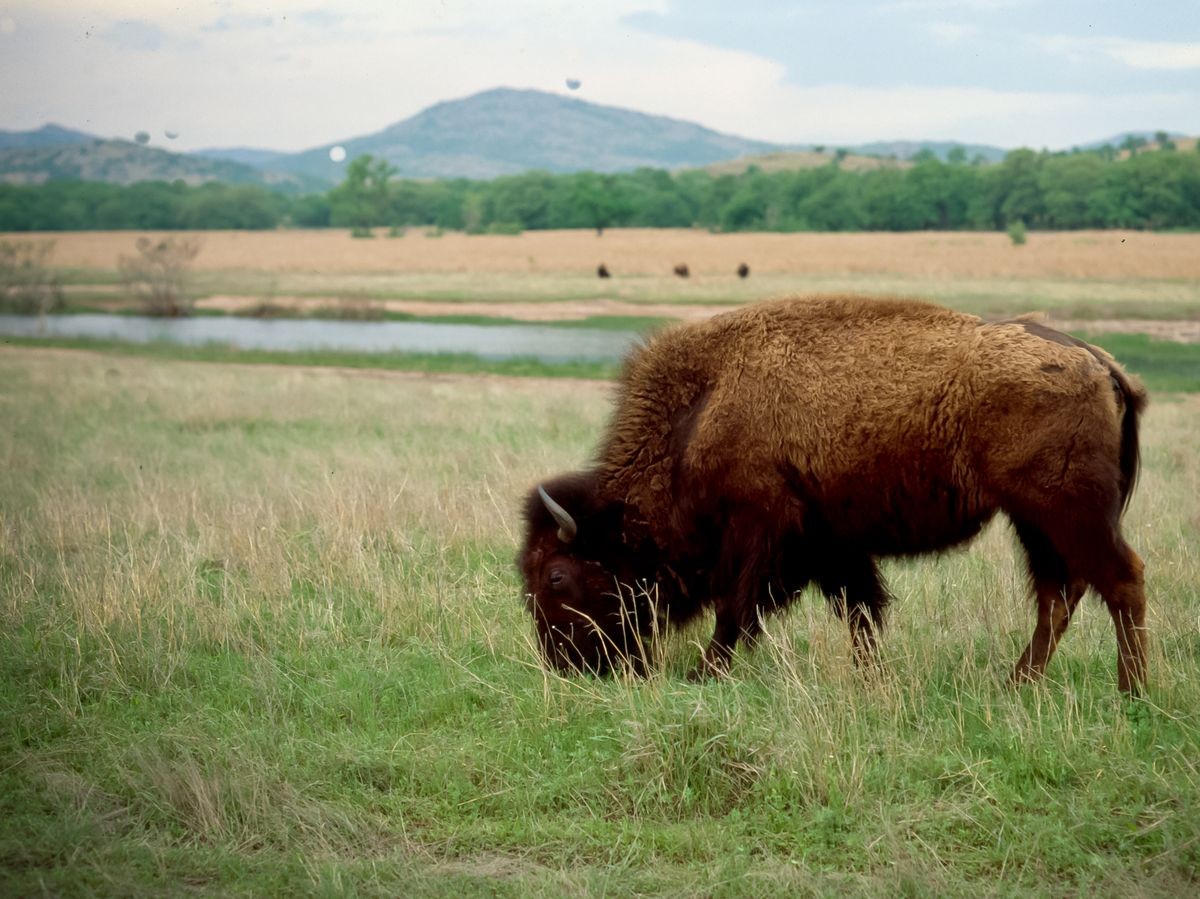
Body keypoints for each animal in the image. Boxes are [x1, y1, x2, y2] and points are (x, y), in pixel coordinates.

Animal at [518, 297, 1152, 691]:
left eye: (557, 577)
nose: (563, 666)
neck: (701, 411)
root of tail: (1099, 362)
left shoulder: (761, 530)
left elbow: (736, 608)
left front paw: (705, 674)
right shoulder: (832, 545)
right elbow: (863, 612)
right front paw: (871, 681)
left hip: (1066, 511)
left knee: (1119, 580)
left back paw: (1133, 694)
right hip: (1034, 520)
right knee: (1058, 594)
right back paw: (1016, 684)